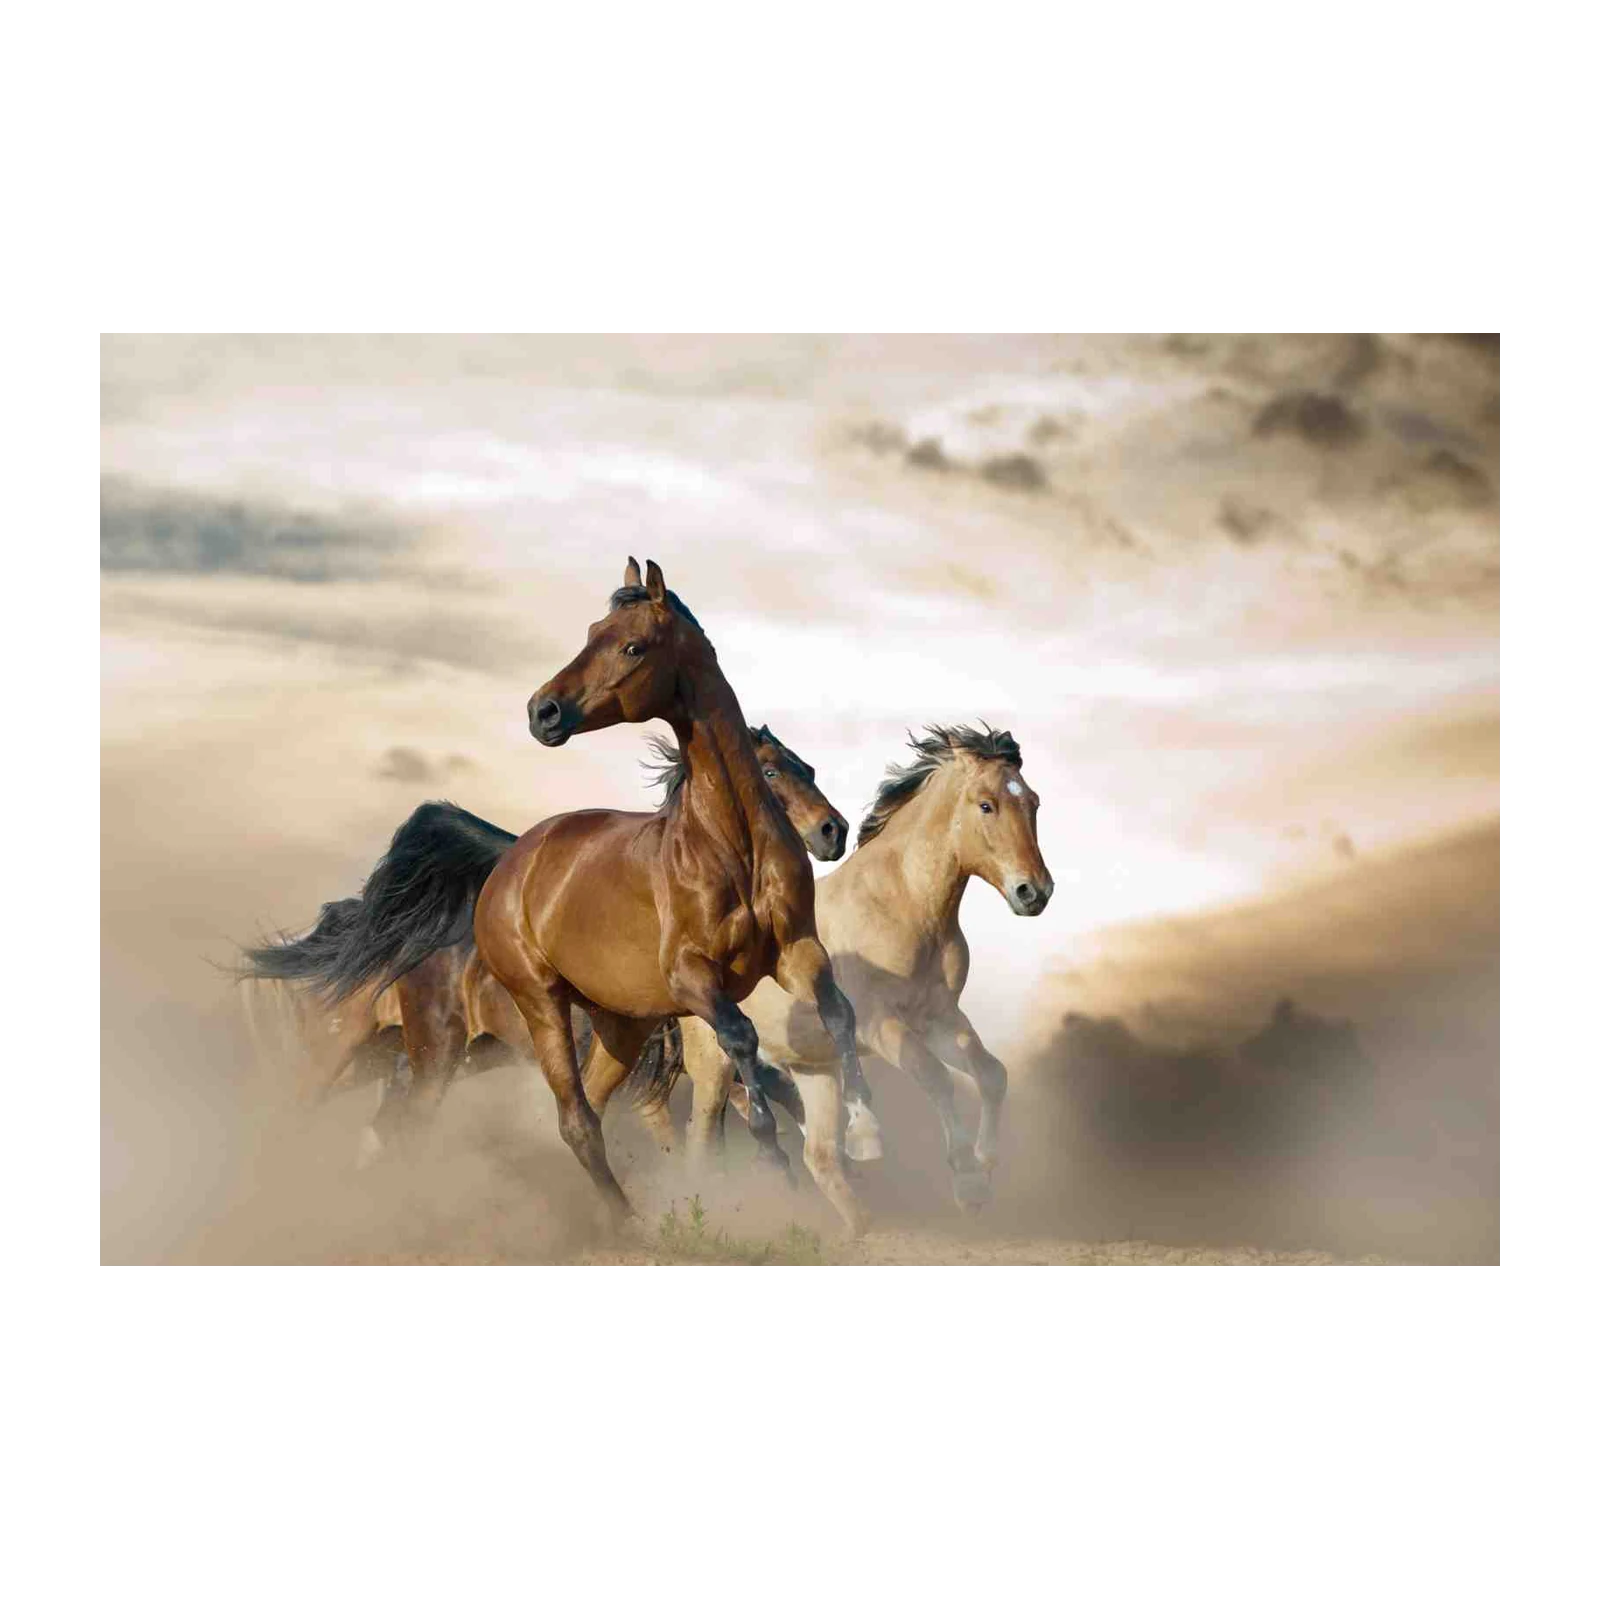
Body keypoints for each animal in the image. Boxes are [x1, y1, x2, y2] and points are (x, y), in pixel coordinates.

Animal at [622, 724, 1053, 1224]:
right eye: (986, 804)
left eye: (1034, 802)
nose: (1034, 891)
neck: (903, 905)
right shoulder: (880, 1024)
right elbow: (935, 1077)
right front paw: (967, 1181)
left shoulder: (940, 1017)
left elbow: (991, 1074)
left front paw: (984, 1165)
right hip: (714, 1066)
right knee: (704, 1135)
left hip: (812, 1069)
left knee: (818, 1152)